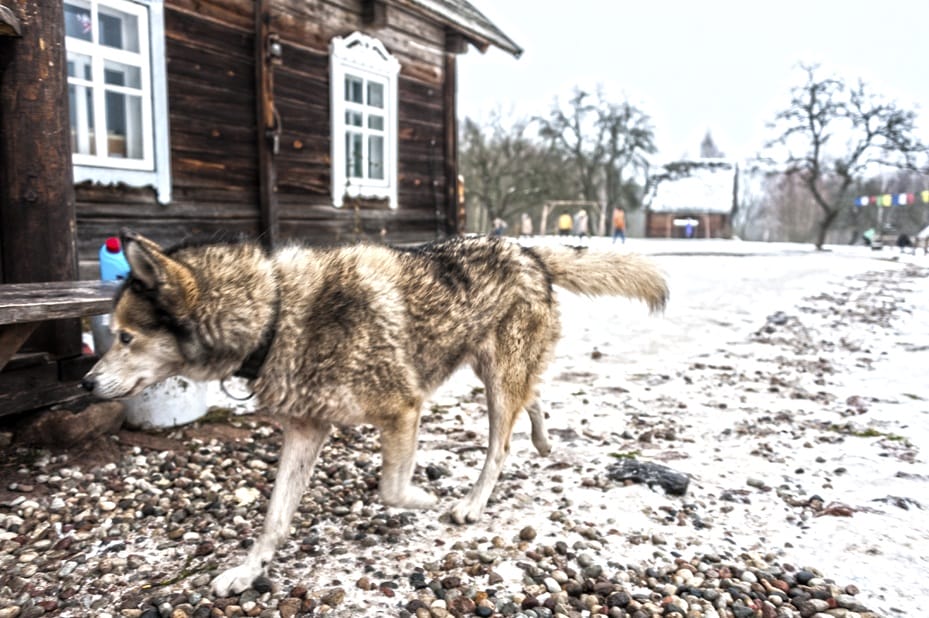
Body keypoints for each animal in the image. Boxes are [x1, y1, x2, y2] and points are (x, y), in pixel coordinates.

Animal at [81, 229, 668, 596]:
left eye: (126, 337)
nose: (85, 383)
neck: (276, 313)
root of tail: (527, 249)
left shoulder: (403, 409)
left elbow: (391, 489)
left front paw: (427, 499)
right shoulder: (305, 431)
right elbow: (273, 521)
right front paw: (246, 574)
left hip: (496, 384)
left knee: (500, 445)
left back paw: (471, 504)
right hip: (493, 372)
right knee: (533, 398)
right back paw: (543, 441)